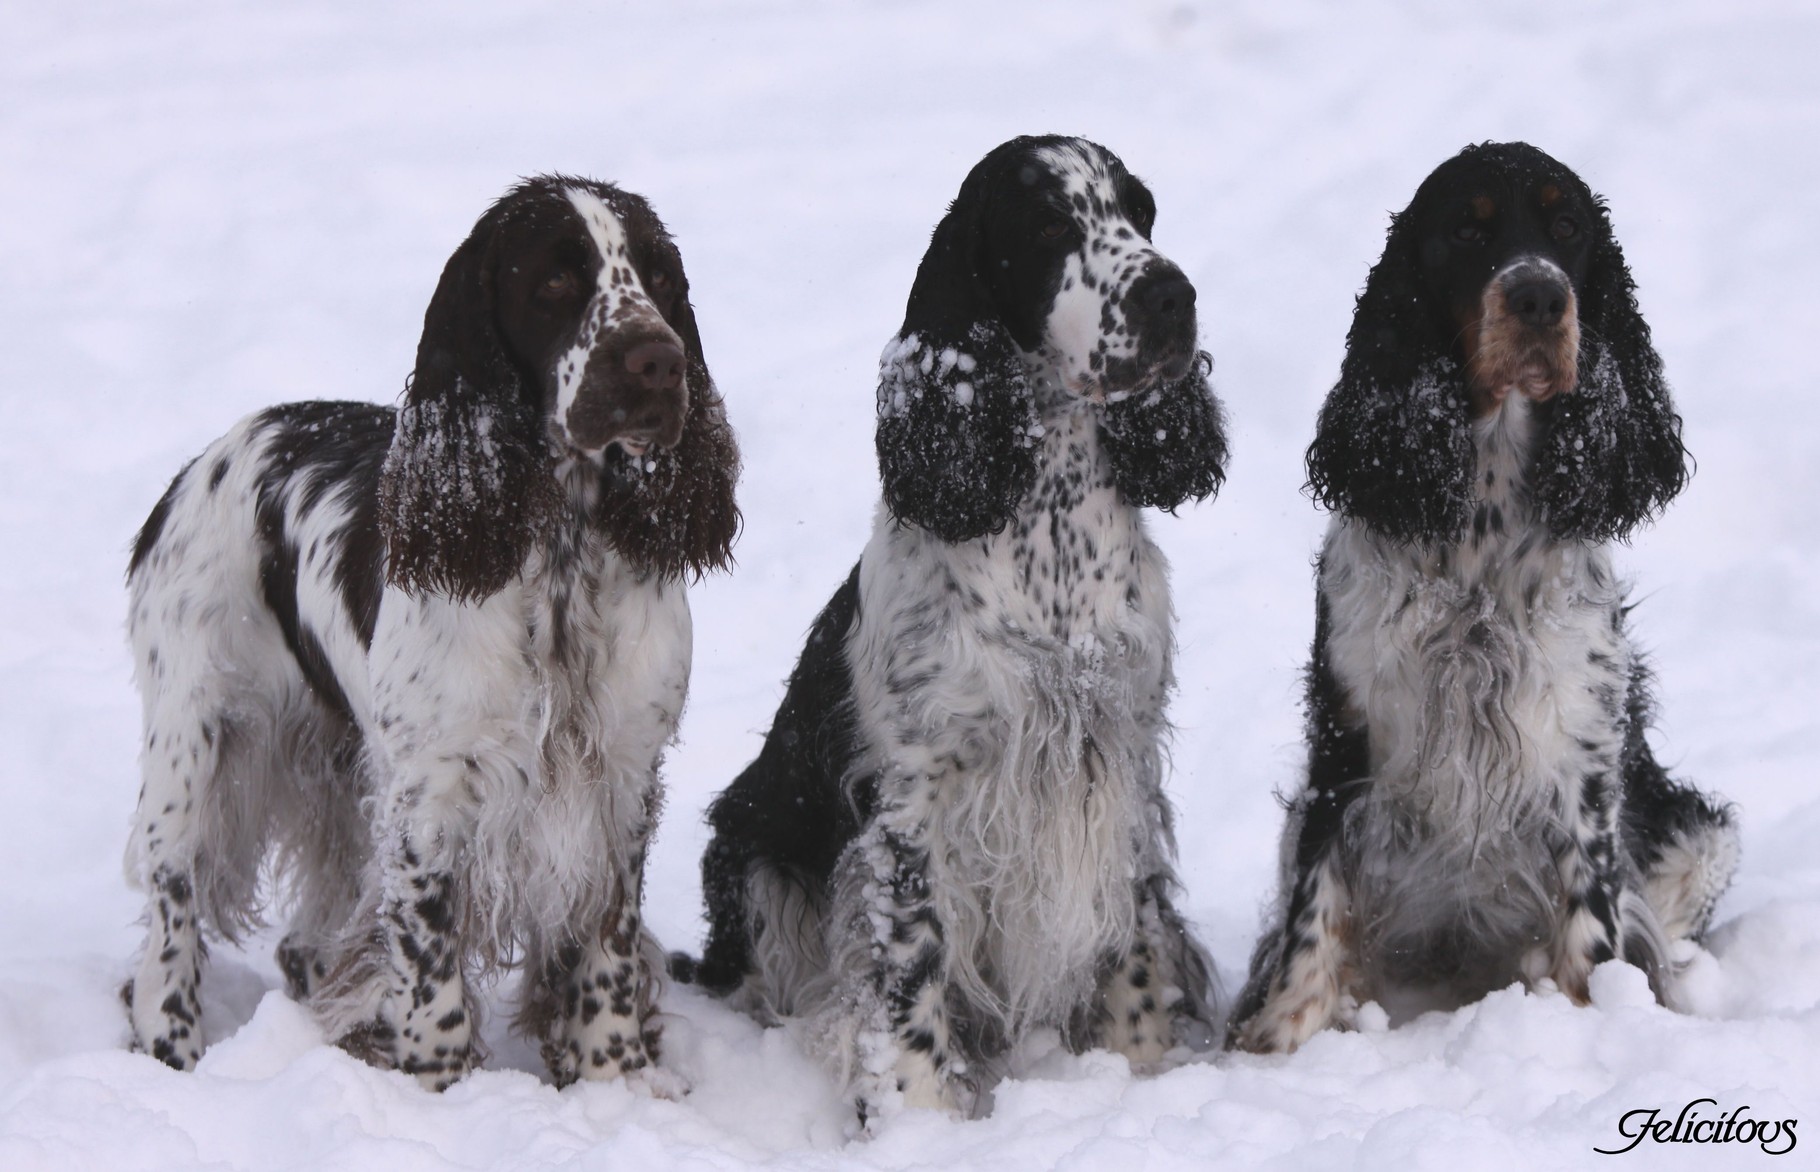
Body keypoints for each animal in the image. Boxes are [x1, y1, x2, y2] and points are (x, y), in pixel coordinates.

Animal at [121, 173, 738, 1091]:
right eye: (557, 278)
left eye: (662, 279)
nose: (660, 360)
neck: (561, 550)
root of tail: (202, 461)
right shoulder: (433, 790)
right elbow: (429, 967)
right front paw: (439, 1089)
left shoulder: (622, 778)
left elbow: (607, 948)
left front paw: (613, 1080)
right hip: (192, 747)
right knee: (170, 916)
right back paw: (173, 1053)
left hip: (339, 770)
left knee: (308, 939)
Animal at [687, 137, 1230, 1128]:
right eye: (1048, 226)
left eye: (1141, 211)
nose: (1173, 295)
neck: (1049, 532)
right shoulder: (915, 796)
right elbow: (912, 960)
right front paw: (918, 1113)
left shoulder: (1120, 754)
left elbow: (1132, 935)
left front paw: (1138, 1069)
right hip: (754, 857)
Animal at [1223, 141, 1732, 1048]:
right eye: (1467, 229)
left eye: (1568, 228)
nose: (1538, 295)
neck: (1483, 522)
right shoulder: (1346, 737)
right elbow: (1314, 912)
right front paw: (1279, 1044)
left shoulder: (1581, 754)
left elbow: (1592, 922)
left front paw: (1596, 1019)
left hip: (1701, 835)